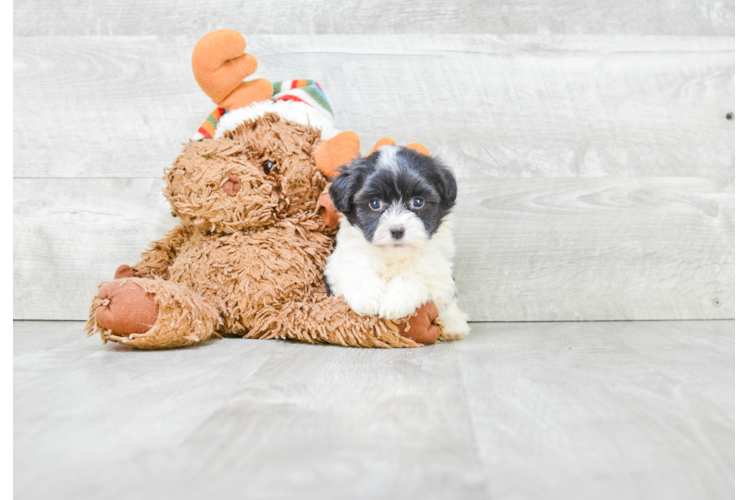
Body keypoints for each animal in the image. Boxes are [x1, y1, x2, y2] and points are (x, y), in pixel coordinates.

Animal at [326, 145, 470, 340]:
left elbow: (415, 275)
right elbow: (355, 270)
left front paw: (395, 302)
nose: (397, 230)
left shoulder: (438, 275)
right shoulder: (337, 264)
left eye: (417, 201)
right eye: (375, 203)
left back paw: (453, 325)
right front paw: (367, 297)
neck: (393, 256)